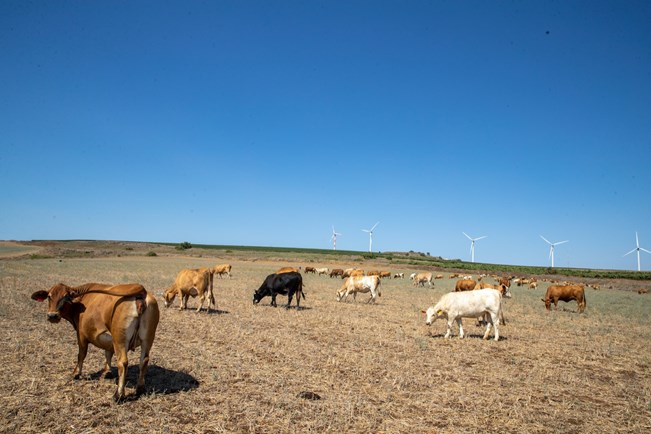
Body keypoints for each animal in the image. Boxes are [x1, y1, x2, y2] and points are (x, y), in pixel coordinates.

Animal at [31, 284, 161, 402]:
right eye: (49, 296)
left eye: (66, 297)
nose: (52, 315)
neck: (81, 301)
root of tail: (141, 291)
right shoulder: (110, 340)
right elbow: (108, 353)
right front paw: (107, 371)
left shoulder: (81, 336)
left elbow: (81, 355)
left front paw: (76, 373)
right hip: (147, 339)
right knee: (144, 361)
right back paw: (140, 389)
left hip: (120, 339)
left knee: (123, 363)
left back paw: (118, 395)